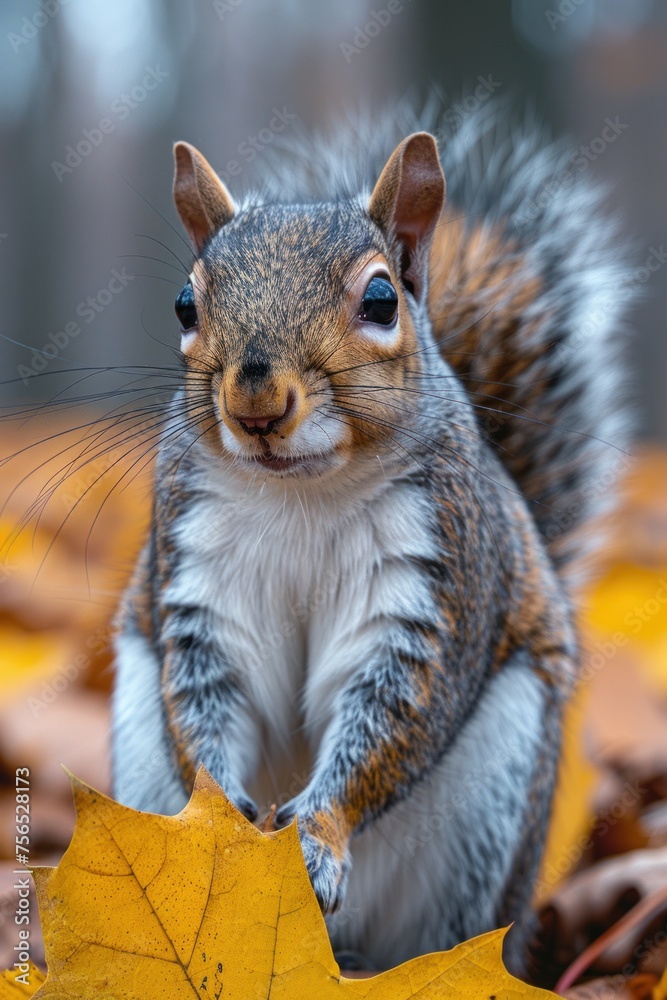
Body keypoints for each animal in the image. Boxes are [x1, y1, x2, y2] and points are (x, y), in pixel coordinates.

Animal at [111, 104, 631, 975]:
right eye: (186, 305)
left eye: (381, 300)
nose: (256, 402)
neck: (302, 492)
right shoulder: (197, 576)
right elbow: (200, 706)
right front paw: (224, 833)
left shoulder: (433, 583)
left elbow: (388, 723)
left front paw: (313, 841)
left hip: (487, 808)